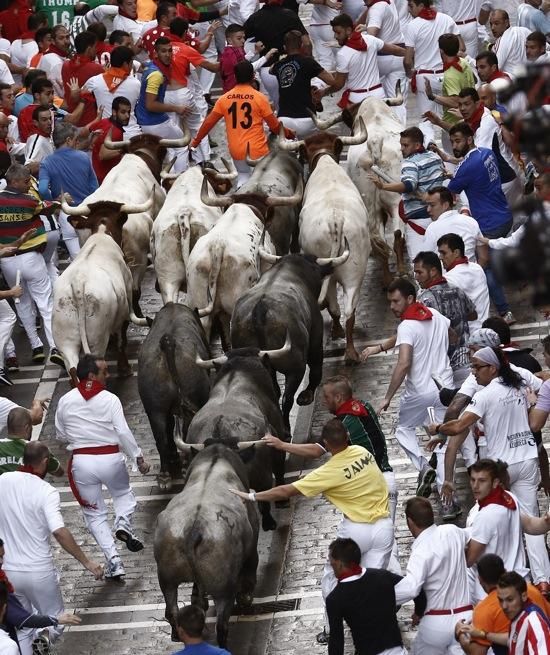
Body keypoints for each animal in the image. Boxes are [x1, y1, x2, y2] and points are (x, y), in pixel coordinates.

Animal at [138, 304, 211, 490]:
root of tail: (168, 343)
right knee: (184, 432)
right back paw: (184, 466)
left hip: (155, 407)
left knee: (161, 437)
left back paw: (165, 475)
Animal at [154, 440, 260, 652]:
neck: (215, 462)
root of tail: (194, 528)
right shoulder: (253, 544)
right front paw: (246, 598)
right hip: (224, 588)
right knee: (221, 624)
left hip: (166, 579)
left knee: (171, 611)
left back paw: (177, 634)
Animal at [232, 249, 352, 434]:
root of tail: (260, 309)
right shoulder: (315, 337)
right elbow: (316, 367)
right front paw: (307, 395)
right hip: (295, 365)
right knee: (287, 397)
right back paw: (288, 426)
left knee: (275, 391)